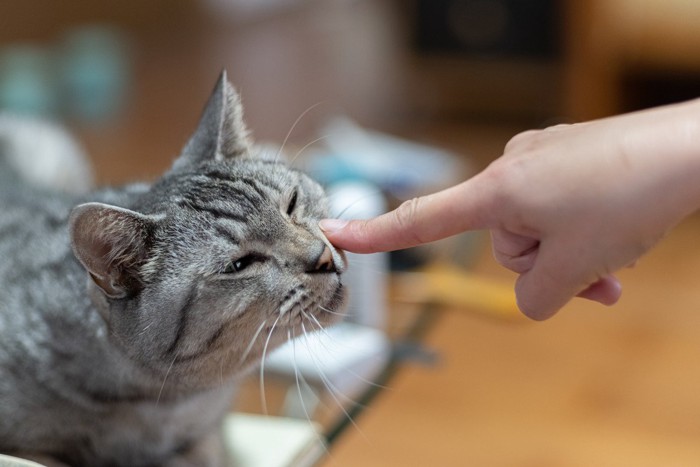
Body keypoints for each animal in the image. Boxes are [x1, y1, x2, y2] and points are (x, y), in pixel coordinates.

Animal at [0, 72, 348, 467]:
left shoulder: (207, 433)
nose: (321, 256)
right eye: (240, 264)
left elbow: (205, 451)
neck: (168, 405)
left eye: (291, 202)